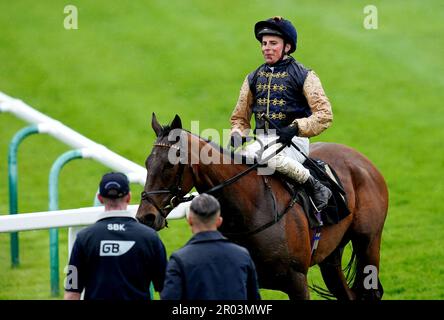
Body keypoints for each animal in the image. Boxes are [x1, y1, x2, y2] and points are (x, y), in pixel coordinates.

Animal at [136, 115, 388, 300]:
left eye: (169, 165)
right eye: (148, 162)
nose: (145, 217)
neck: (251, 210)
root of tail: (362, 160)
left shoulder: (297, 281)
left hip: (368, 242)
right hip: (331, 256)